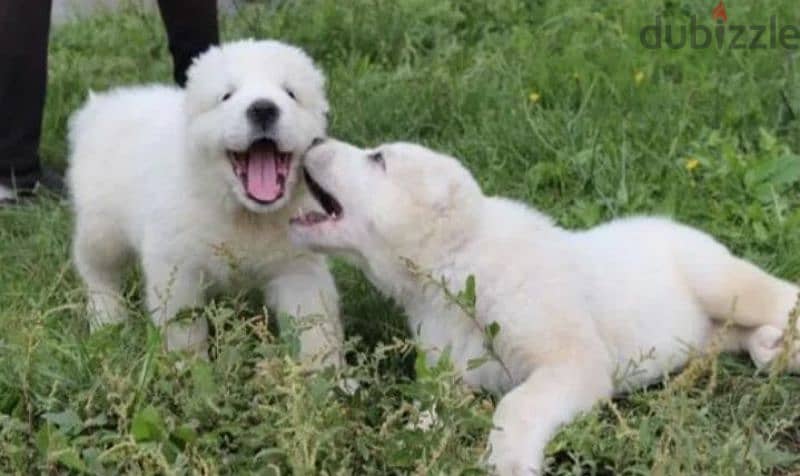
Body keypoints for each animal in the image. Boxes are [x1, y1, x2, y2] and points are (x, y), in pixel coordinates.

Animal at [69, 40, 344, 368]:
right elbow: (185, 332)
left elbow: (314, 327)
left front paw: (326, 375)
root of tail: (98, 109)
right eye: (226, 96)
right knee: (96, 270)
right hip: (102, 227)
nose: (263, 108)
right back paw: (106, 321)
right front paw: (190, 371)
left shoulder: (299, 267)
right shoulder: (176, 267)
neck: (245, 214)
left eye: (290, 93)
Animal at [290, 139, 800, 476]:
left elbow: (516, 404)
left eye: (378, 158)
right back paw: (770, 348)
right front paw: (414, 431)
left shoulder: (571, 360)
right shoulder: (447, 363)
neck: (457, 262)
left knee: (778, 296)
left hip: (716, 277)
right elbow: (435, 403)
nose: (313, 140)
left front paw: (508, 460)